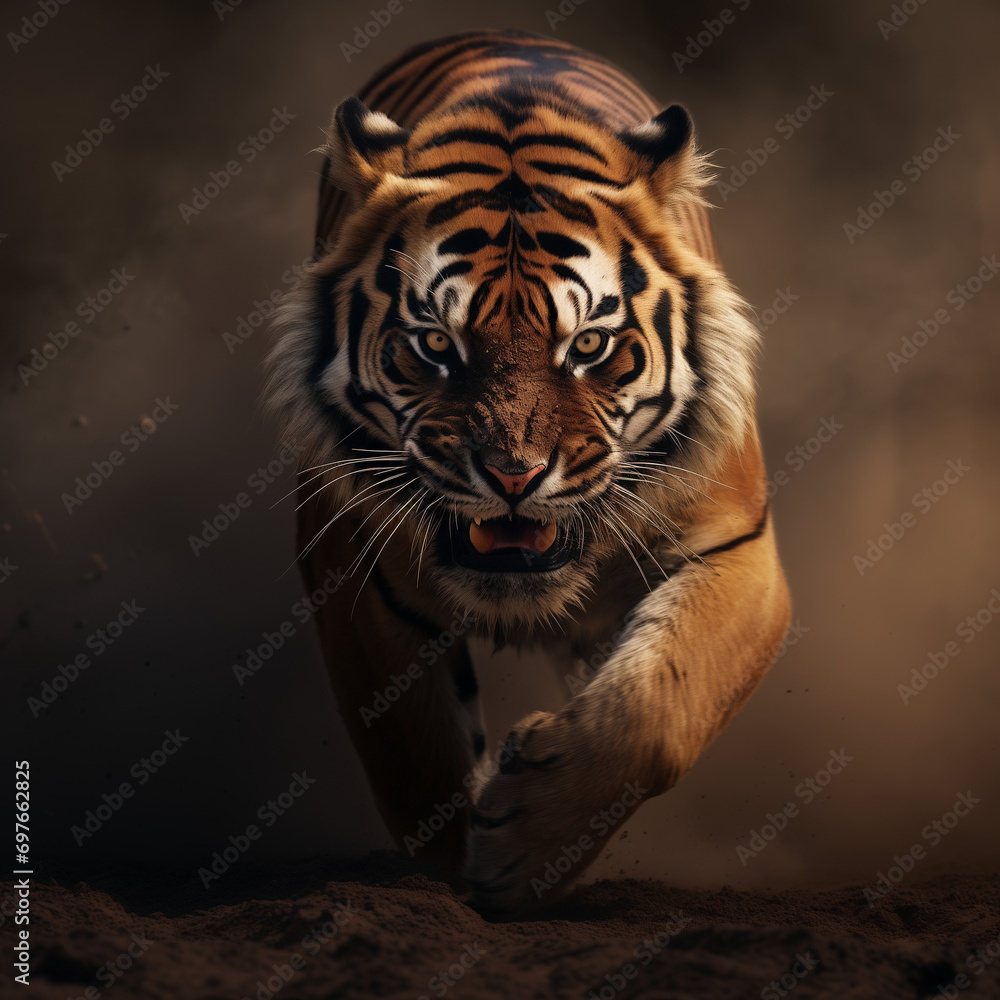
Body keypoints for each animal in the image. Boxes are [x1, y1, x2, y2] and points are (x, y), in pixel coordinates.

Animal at [265, 28, 791, 918]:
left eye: (589, 346)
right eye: (435, 344)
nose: (514, 475)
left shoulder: (737, 545)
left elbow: (654, 709)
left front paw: (524, 850)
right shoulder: (354, 571)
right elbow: (413, 753)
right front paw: (459, 877)